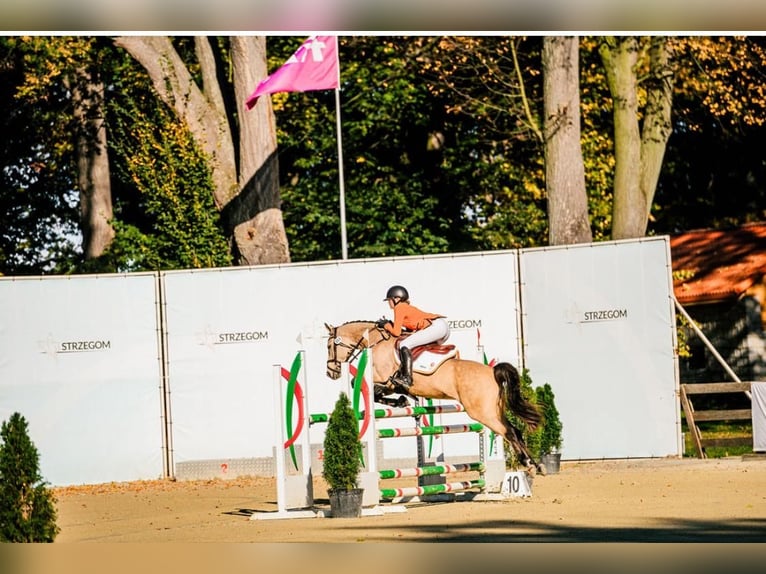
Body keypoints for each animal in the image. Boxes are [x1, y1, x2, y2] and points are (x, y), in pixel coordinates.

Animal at [324, 320, 544, 472]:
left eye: (328, 346)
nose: (330, 373)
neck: (375, 342)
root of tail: (492, 371)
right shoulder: (389, 384)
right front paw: (402, 400)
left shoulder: (384, 379)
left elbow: (363, 386)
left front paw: (399, 400)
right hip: (495, 410)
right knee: (516, 430)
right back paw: (536, 465)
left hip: (483, 413)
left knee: (509, 432)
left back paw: (529, 464)